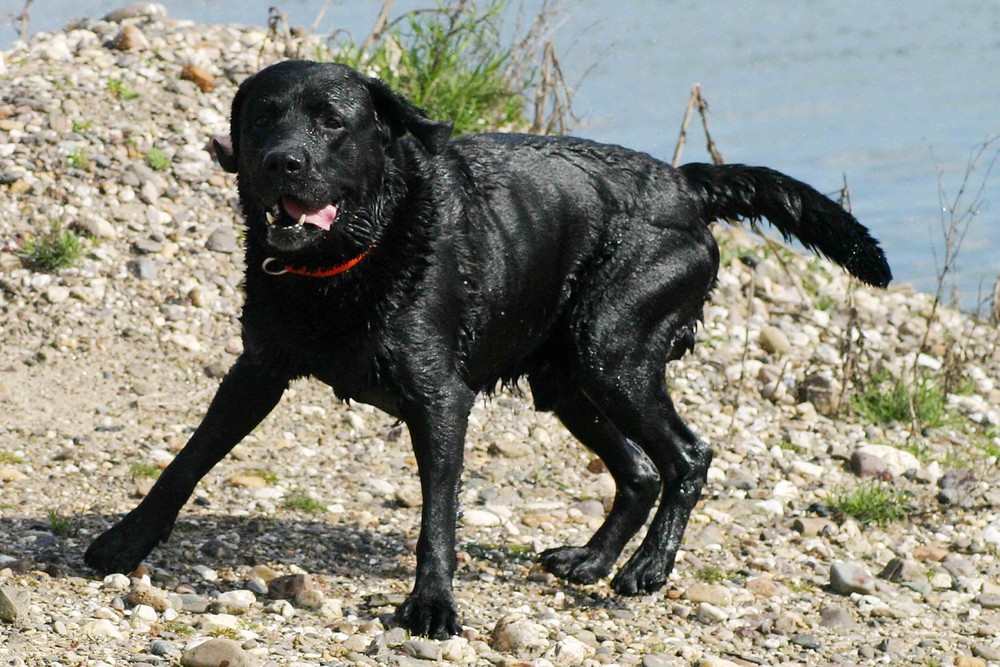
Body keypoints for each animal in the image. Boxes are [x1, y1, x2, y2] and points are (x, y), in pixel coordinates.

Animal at [88, 60, 892, 640]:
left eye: (333, 123)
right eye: (261, 116)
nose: (281, 161)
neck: (355, 254)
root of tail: (684, 183)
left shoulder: (441, 400)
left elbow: (438, 517)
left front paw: (432, 605)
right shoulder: (255, 372)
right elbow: (186, 461)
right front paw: (125, 542)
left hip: (612, 351)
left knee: (688, 456)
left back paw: (647, 569)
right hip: (566, 378)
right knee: (638, 469)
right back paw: (592, 558)